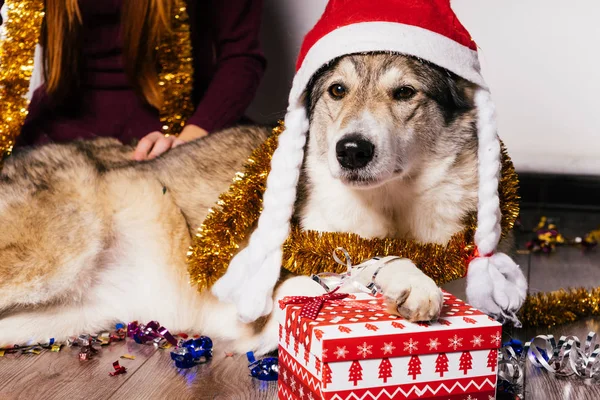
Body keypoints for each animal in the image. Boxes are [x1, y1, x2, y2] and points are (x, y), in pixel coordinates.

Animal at [0, 52, 480, 354]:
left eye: (405, 93)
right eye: (337, 91)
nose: (351, 151)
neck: (389, 207)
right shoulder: (266, 301)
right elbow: (357, 266)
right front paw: (408, 278)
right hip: (56, 258)